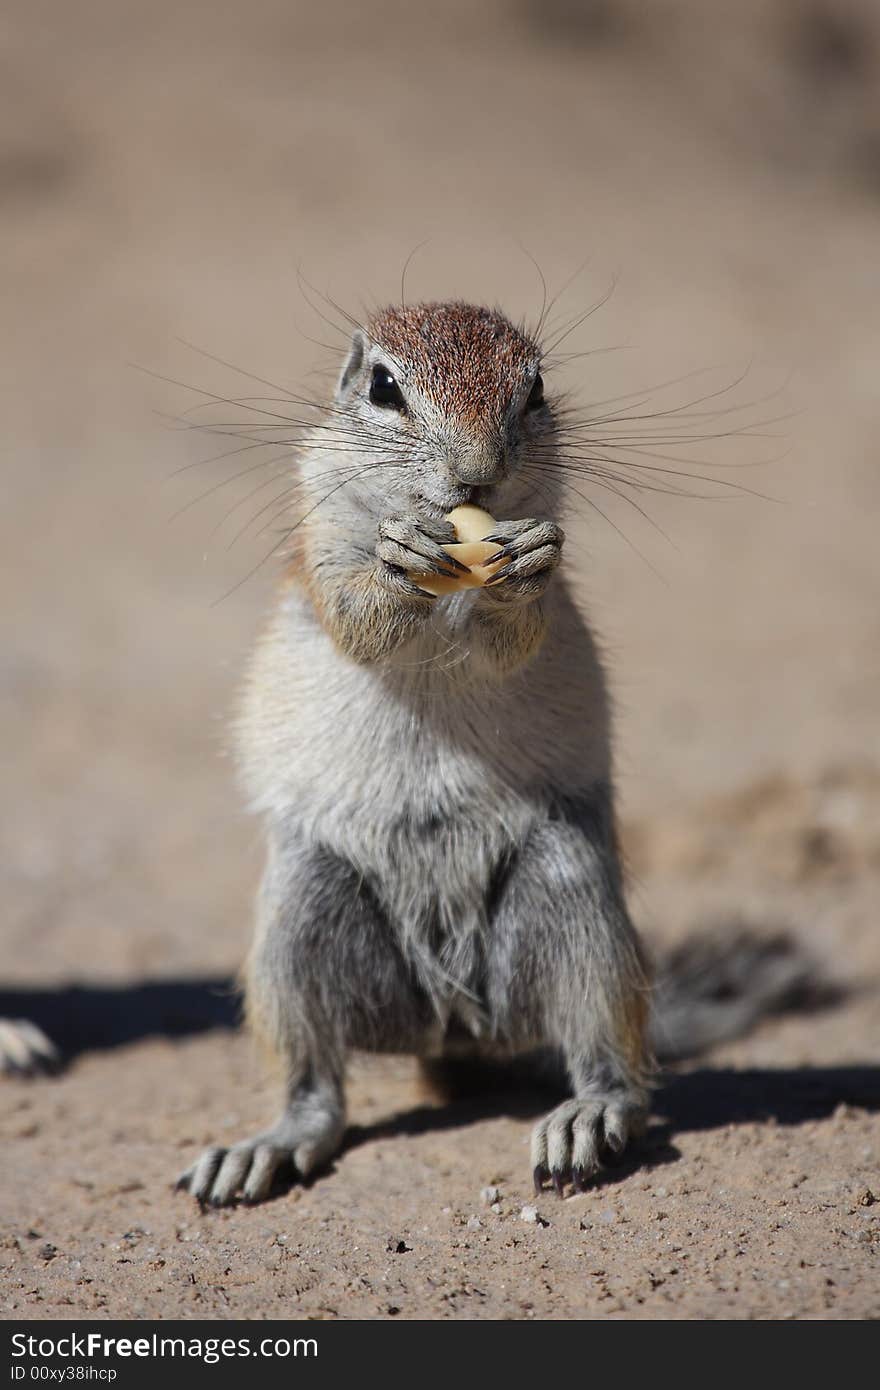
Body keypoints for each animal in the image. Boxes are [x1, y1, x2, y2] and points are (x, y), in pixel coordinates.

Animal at [176, 301, 811, 1206]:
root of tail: (459, 1030)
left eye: (535, 388)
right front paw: (397, 562)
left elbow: (521, 631)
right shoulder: (319, 533)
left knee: (612, 1061)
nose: (476, 474)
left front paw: (524, 569)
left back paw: (587, 1117)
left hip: (574, 903)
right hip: (299, 922)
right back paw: (270, 1145)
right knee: (316, 1085)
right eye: (383, 387)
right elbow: (353, 611)